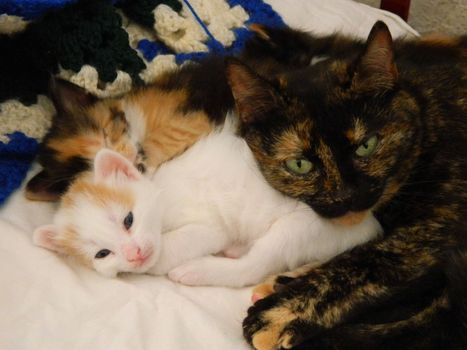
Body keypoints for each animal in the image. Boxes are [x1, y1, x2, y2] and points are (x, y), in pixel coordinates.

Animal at [228, 22, 467, 350]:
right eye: (300, 164)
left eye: (367, 145)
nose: (347, 196)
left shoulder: (436, 224)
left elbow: (367, 262)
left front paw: (279, 313)